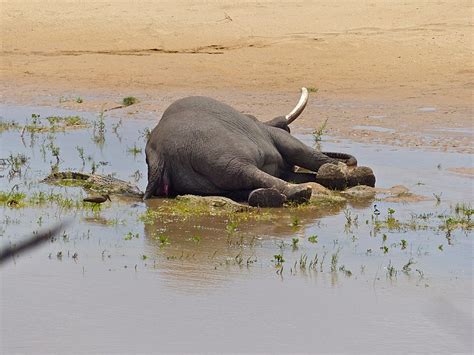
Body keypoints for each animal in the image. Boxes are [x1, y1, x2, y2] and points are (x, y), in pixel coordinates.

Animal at [143, 87, 376, 207]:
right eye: (287, 128)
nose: (350, 161)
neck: (260, 120)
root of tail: (159, 156)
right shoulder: (274, 135)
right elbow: (299, 151)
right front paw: (342, 173)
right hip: (216, 151)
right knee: (243, 171)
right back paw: (300, 193)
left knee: (236, 183)